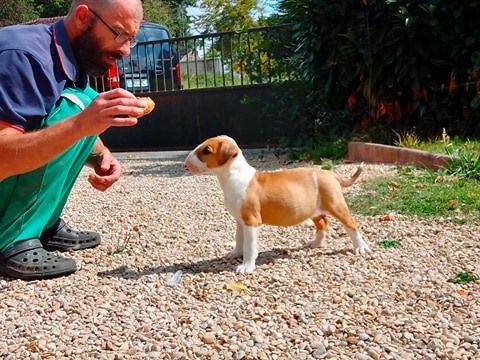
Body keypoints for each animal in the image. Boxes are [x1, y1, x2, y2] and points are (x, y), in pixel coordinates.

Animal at [184, 135, 372, 272]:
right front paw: (235, 253)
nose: (185, 165)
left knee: (351, 225)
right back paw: (316, 243)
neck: (232, 176)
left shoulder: (251, 221)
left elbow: (249, 246)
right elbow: (239, 239)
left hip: (336, 205)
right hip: (312, 209)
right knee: (322, 223)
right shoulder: (240, 220)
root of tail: (330, 174)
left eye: (206, 150)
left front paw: (246, 266)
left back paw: (360, 247)